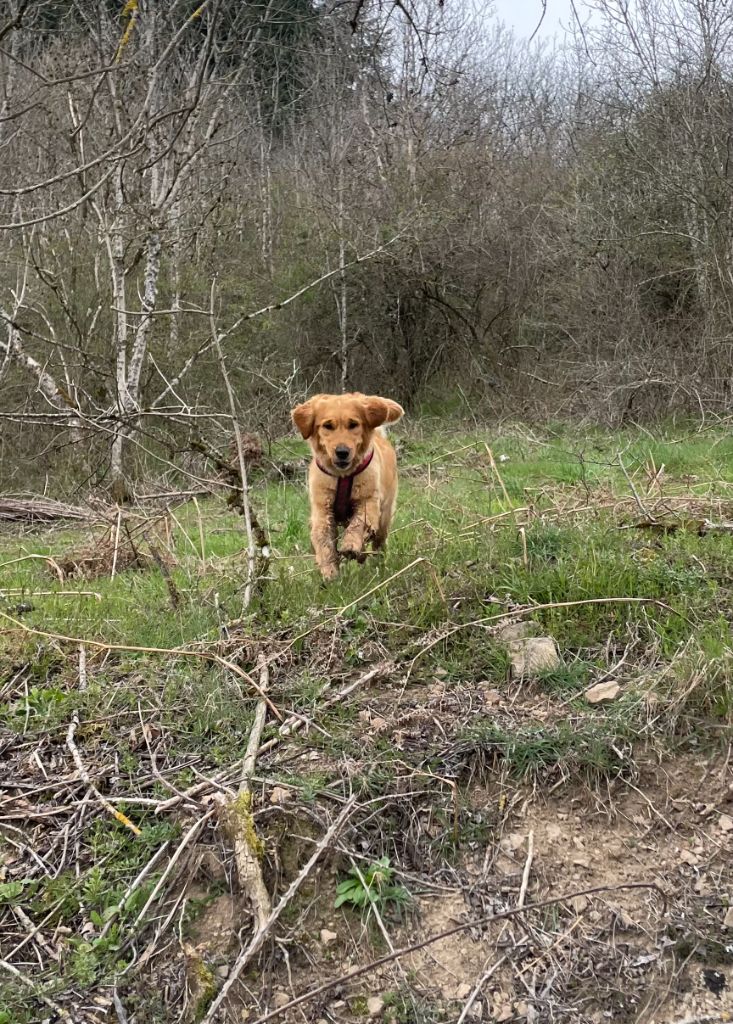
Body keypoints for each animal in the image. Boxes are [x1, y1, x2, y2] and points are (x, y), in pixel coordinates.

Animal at [290, 391, 403, 581]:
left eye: (353, 424)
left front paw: (350, 545)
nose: (342, 452)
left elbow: (359, 523)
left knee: (379, 542)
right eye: (327, 426)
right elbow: (323, 539)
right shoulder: (322, 508)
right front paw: (329, 569)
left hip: (385, 515)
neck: (342, 476)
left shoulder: (368, 502)